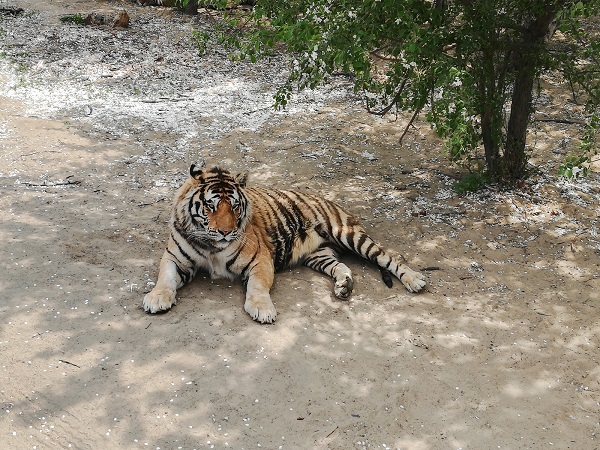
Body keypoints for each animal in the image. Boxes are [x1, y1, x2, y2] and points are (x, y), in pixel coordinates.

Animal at [142, 163, 424, 322]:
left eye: (234, 206)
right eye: (210, 205)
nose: (225, 232)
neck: (211, 246)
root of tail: (331, 199)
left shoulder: (260, 260)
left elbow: (257, 286)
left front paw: (262, 309)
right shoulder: (174, 258)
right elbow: (165, 278)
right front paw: (156, 298)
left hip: (350, 235)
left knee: (388, 257)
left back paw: (415, 280)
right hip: (319, 255)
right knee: (341, 266)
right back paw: (344, 286)